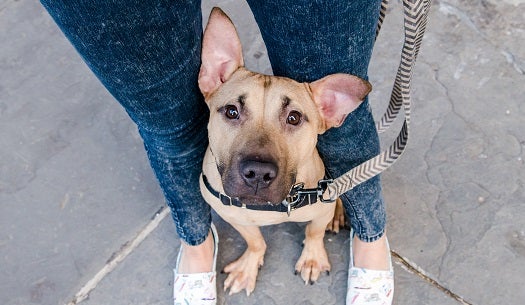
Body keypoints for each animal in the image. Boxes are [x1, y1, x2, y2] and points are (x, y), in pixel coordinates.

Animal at [198, 7, 372, 296]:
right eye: (232, 111)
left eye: (294, 118)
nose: (258, 173)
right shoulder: (233, 215)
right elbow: (255, 240)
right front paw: (249, 265)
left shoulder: (319, 211)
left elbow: (314, 232)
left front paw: (311, 259)